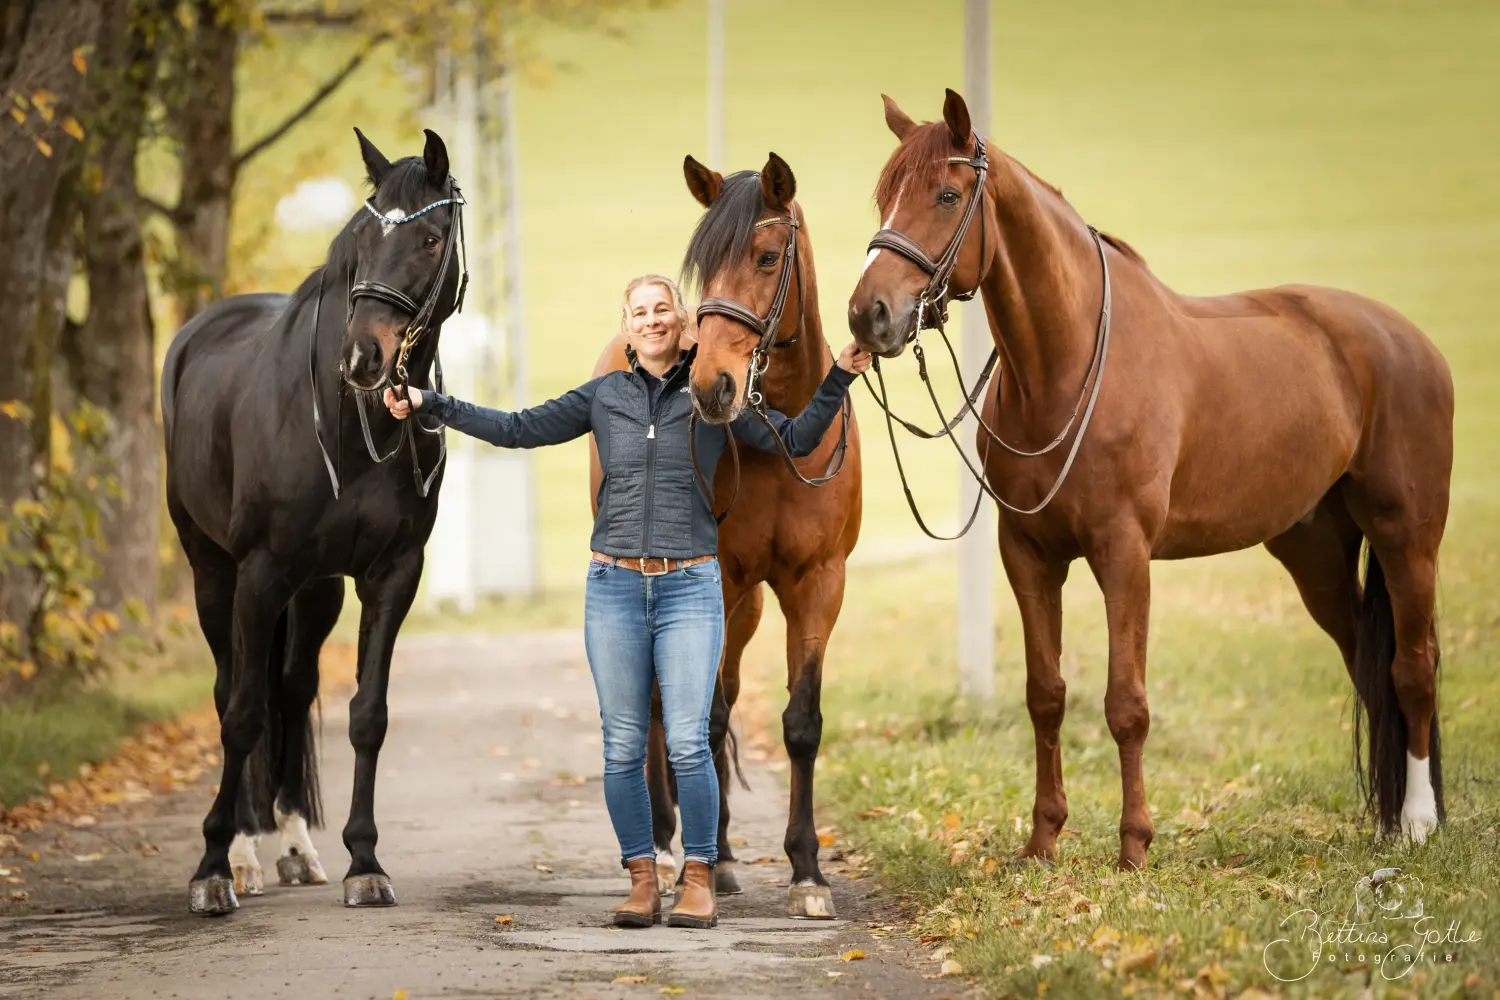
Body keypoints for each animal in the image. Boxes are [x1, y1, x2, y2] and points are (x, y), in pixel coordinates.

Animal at [160, 127, 465, 917]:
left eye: (429, 238)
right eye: (361, 238)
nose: (364, 357)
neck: (348, 425)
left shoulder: (391, 575)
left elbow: (366, 714)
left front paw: (365, 861)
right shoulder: (258, 575)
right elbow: (241, 715)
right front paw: (211, 867)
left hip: (316, 589)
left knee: (292, 692)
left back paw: (295, 847)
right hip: (215, 576)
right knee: (233, 692)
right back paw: (242, 853)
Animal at [591, 154, 864, 917]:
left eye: (767, 258)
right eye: (702, 268)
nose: (711, 385)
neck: (782, 437)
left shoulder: (819, 584)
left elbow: (801, 721)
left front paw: (807, 871)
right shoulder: (721, 578)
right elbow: (703, 717)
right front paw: (704, 862)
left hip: (744, 611)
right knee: (664, 704)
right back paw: (665, 842)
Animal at [858, 93, 1452, 869]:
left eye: (946, 195)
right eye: (883, 197)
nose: (867, 315)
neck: (1068, 365)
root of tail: (1412, 342)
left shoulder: (1125, 553)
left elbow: (1126, 704)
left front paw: (1135, 847)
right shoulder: (1029, 555)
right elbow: (1046, 694)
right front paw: (1043, 841)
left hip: (1406, 537)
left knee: (1413, 667)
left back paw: (1417, 822)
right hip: (1315, 552)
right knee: (1366, 663)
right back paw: (1383, 824)